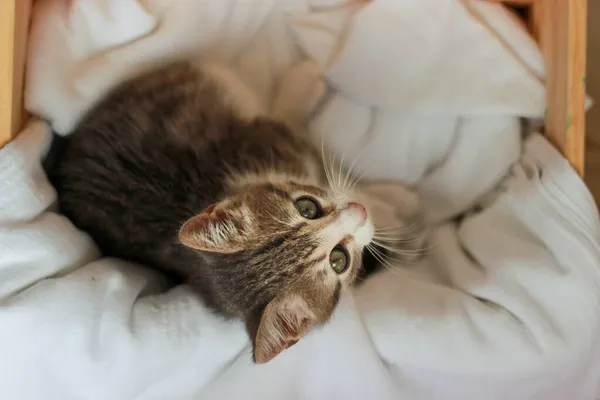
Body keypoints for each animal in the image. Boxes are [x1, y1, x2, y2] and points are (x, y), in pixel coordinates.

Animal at [50, 60, 418, 366]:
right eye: (339, 260)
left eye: (306, 207)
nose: (359, 212)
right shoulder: (273, 136)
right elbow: (297, 127)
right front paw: (394, 204)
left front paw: (382, 201)